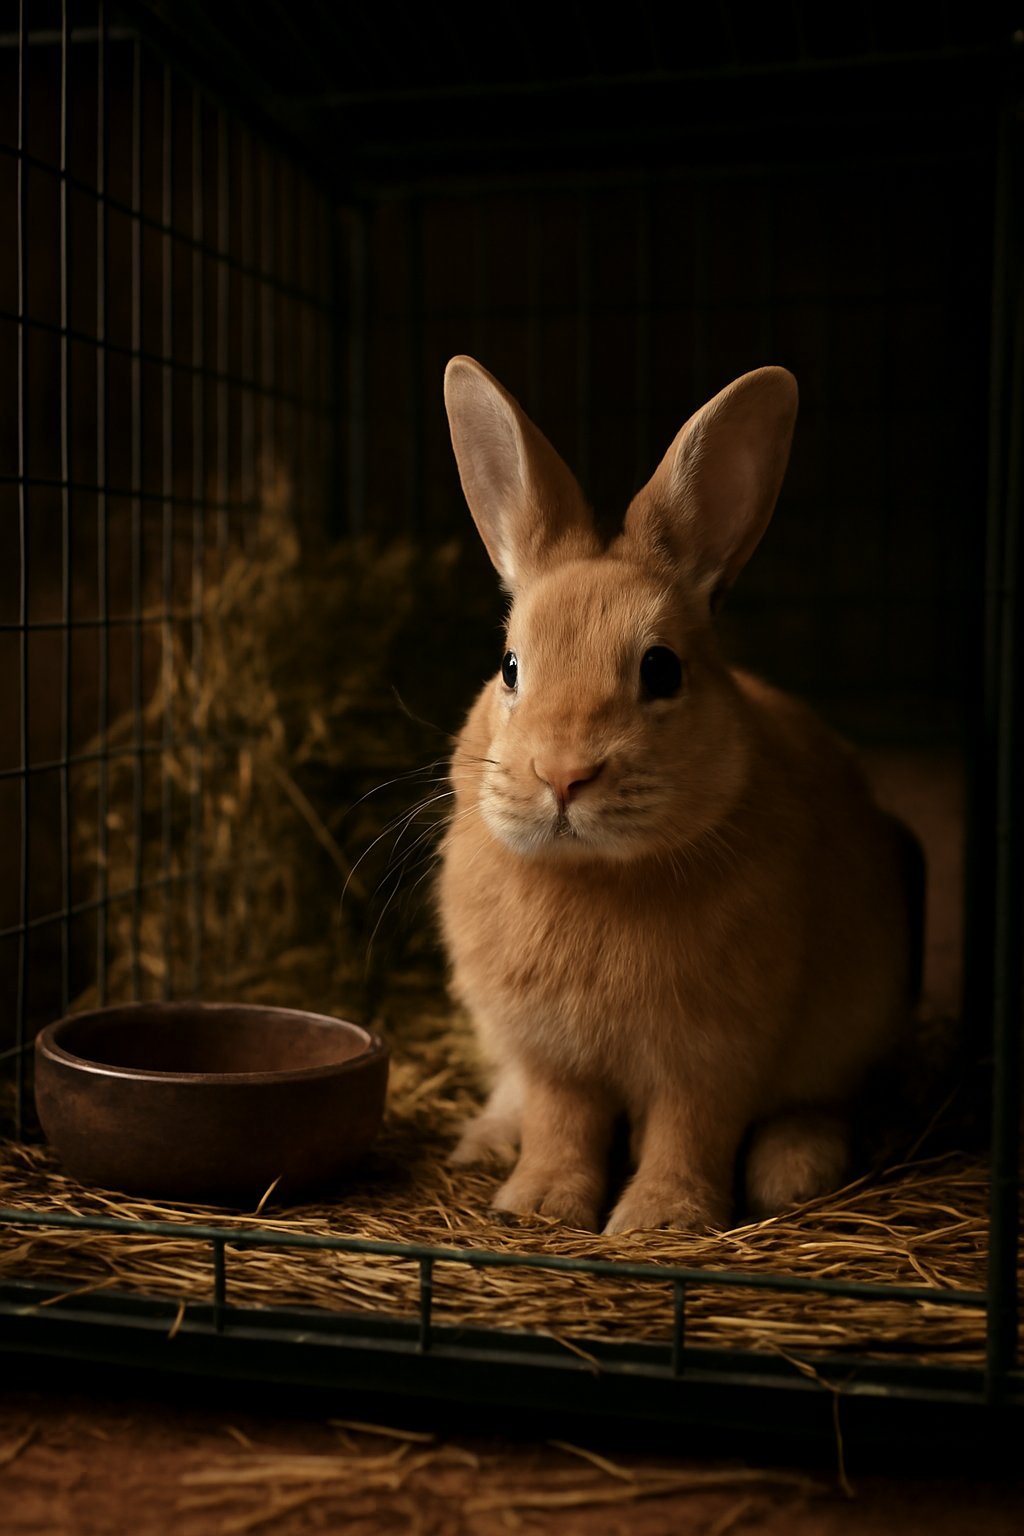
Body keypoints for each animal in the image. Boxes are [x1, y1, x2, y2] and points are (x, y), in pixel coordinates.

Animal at [437, 356, 920, 1234]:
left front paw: (660, 1220)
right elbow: (560, 1122)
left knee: (815, 1104)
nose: (562, 775)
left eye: (661, 669)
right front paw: (539, 1206)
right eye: (510, 667)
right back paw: (487, 1143)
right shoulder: (554, 1056)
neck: (598, 875)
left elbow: (690, 1130)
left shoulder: (716, 1053)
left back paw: (794, 1171)